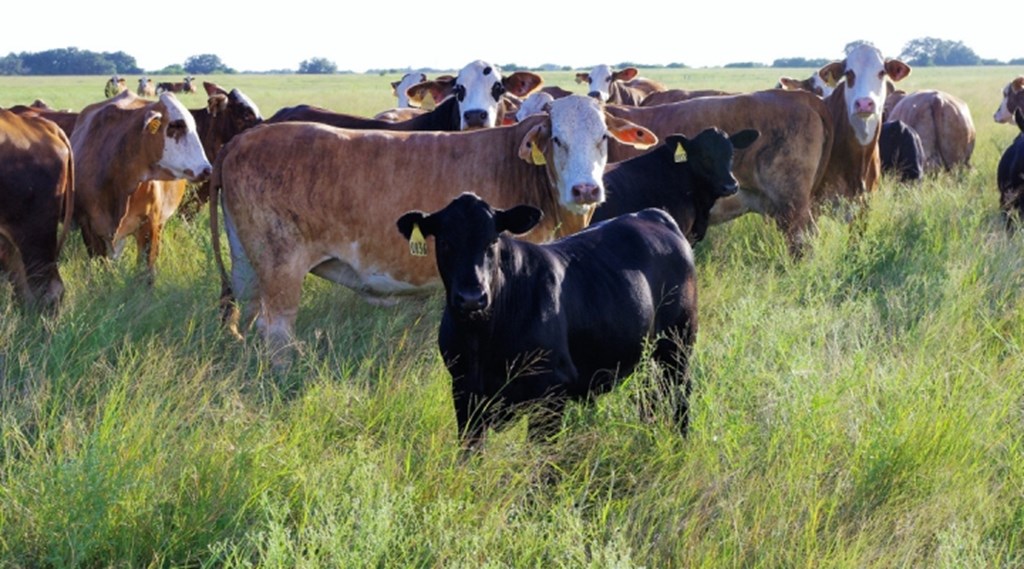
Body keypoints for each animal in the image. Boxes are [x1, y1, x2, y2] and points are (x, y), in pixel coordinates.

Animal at [209, 93, 655, 360]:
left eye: (603, 137)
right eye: (557, 139)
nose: (586, 189)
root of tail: (243, 139)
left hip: (248, 265)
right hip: (281, 268)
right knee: (276, 331)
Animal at [395, 195, 700, 448]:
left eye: (492, 241)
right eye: (445, 242)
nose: (472, 298)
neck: (481, 338)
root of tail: (652, 214)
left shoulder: (551, 391)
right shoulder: (464, 391)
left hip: (678, 343)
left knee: (680, 397)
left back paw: (680, 445)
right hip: (646, 353)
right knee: (650, 397)